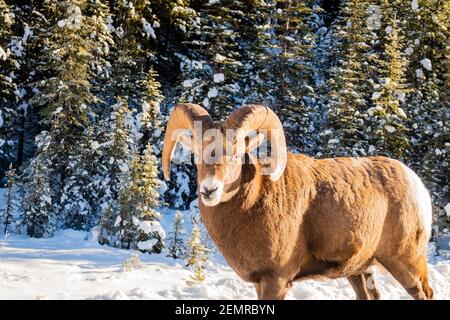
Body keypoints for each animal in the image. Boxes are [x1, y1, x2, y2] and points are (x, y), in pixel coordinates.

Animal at [162, 103, 432, 300]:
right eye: (197, 154)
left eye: (237, 154)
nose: (209, 190)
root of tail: (416, 185)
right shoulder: (260, 282)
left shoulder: (276, 280)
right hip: (360, 270)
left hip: (406, 263)